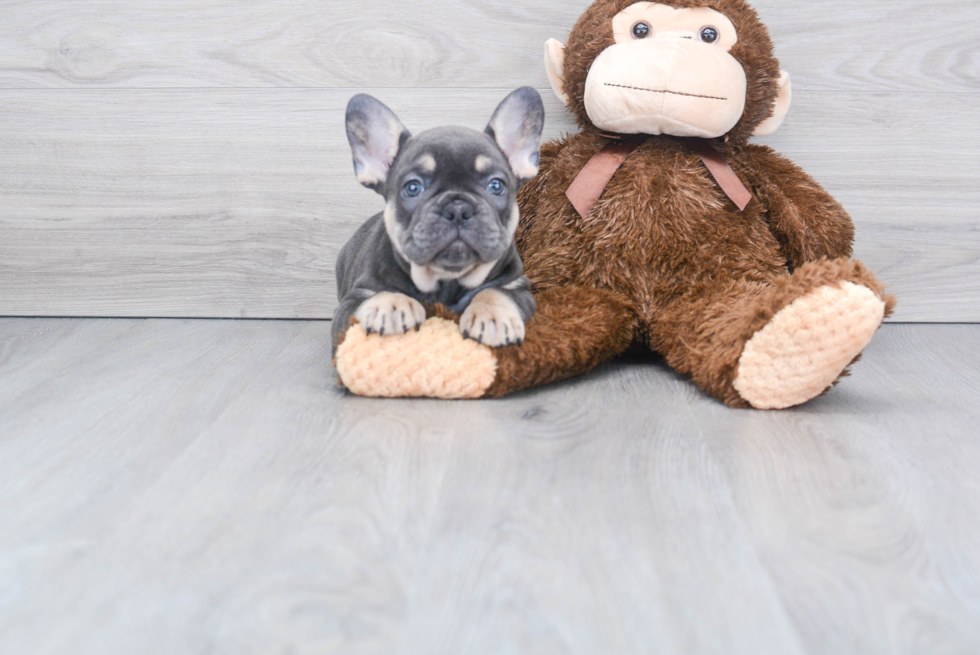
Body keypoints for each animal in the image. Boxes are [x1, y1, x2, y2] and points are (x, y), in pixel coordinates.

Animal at [330, 89, 544, 354]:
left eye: (496, 185)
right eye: (413, 187)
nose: (458, 209)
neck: (446, 282)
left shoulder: (518, 286)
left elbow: (496, 292)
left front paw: (493, 316)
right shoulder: (349, 304)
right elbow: (369, 297)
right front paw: (390, 305)